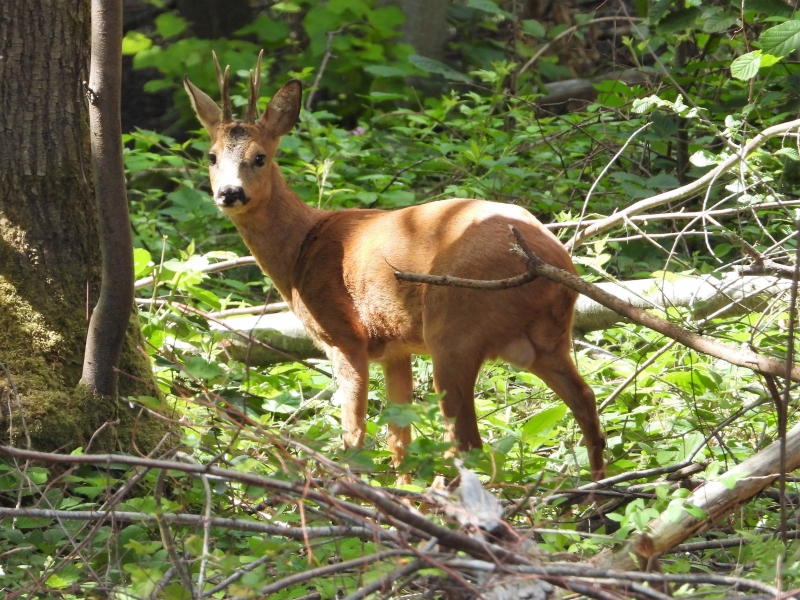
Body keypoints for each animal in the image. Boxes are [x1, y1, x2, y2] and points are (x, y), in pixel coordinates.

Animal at [183, 52, 608, 482]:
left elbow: (354, 436)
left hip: (454, 329)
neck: (302, 248)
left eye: (259, 157)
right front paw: (404, 490)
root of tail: (556, 260)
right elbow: (398, 439)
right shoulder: (395, 349)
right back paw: (594, 489)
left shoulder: (345, 337)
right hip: (544, 339)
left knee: (468, 441)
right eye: (211, 156)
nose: (230, 193)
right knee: (585, 400)